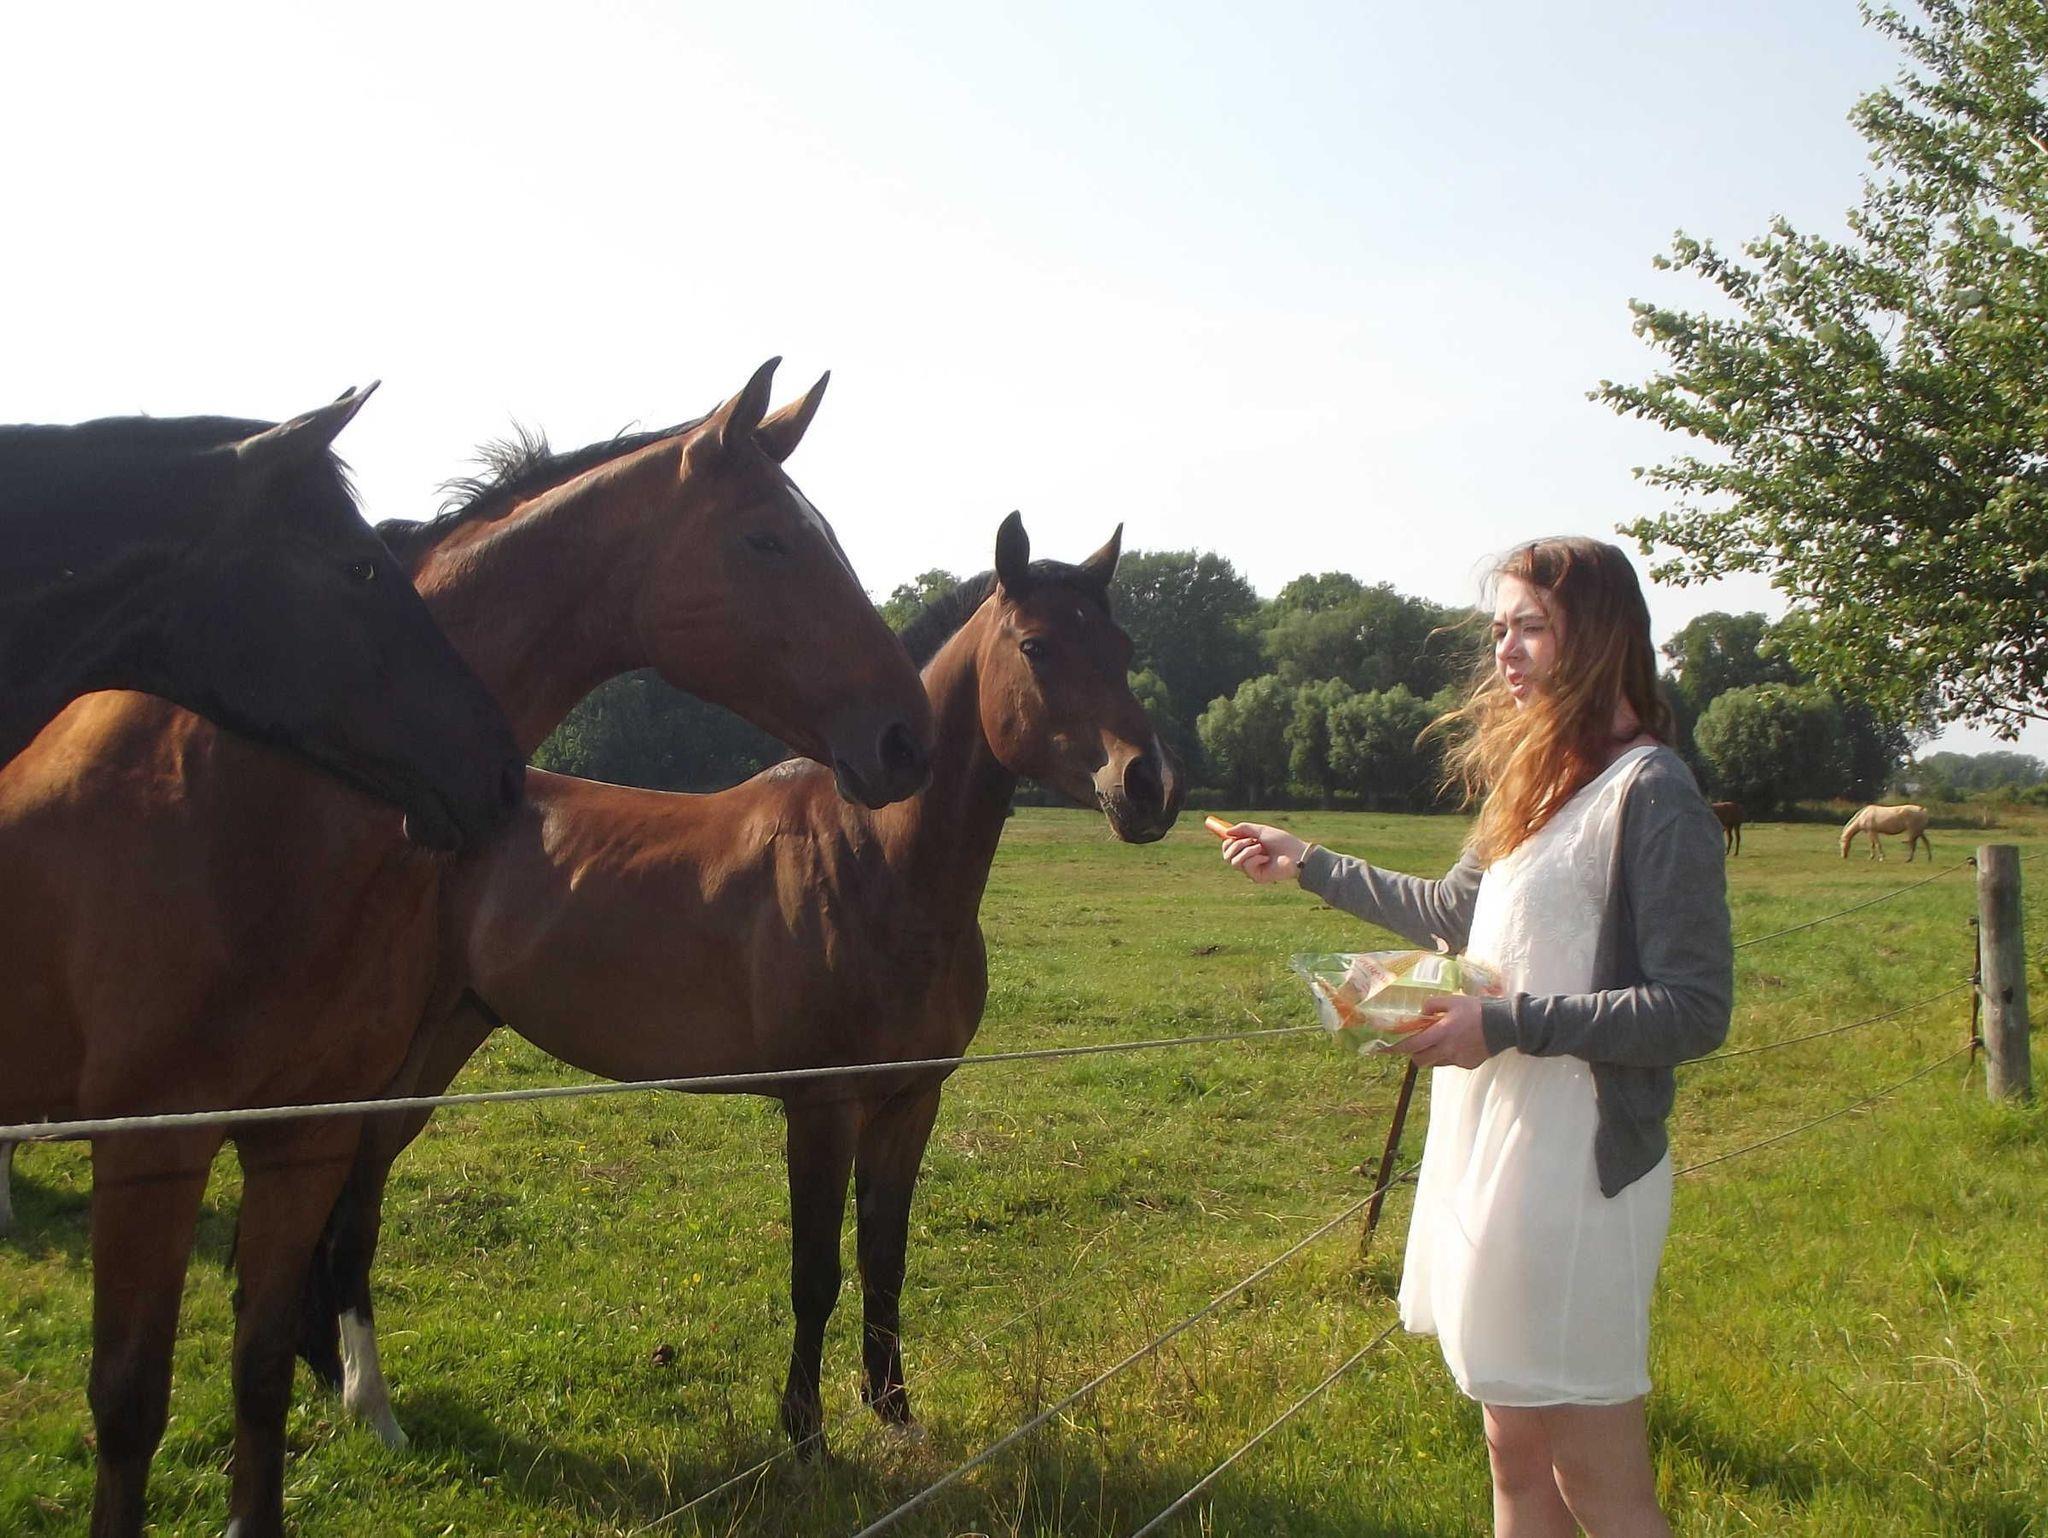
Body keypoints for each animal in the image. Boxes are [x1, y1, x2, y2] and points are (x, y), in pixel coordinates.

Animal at [298, 512, 1181, 1460]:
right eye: (1037, 645)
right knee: (351, 1213)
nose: (1148, 785)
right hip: (400, 1058)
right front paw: (804, 1434)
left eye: (1124, 647)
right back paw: (371, 1407)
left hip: (449, 1035)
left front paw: (895, 1414)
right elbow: (815, 1273)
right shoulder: (821, 1107)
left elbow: (885, 1259)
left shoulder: (911, 1102)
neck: (876, 863)